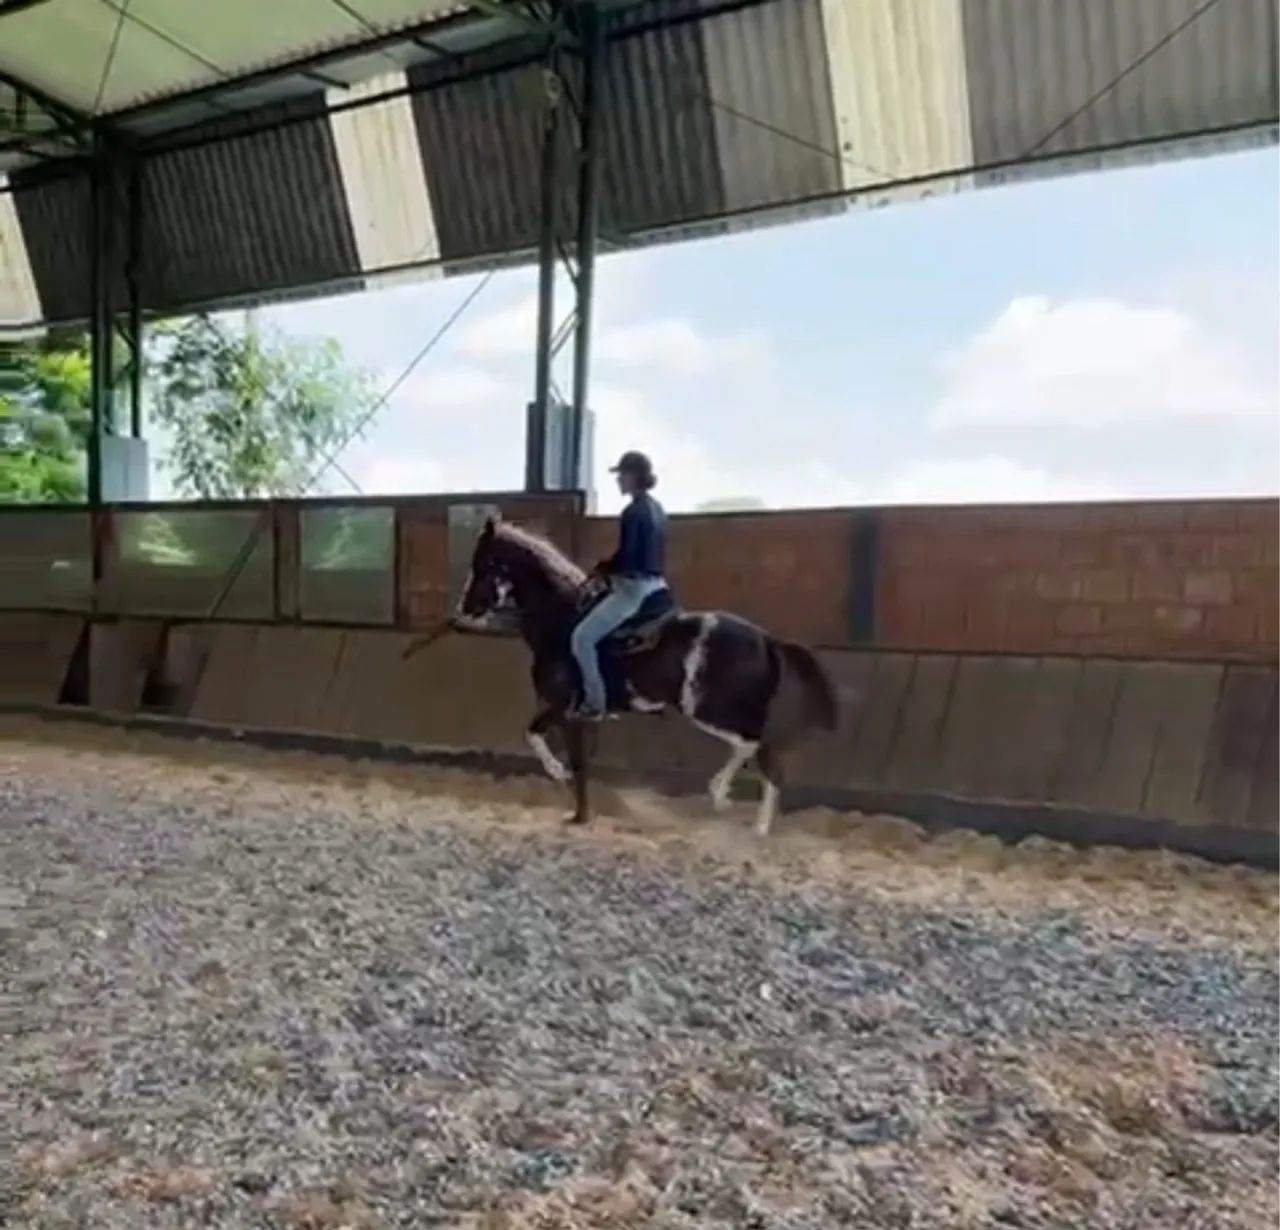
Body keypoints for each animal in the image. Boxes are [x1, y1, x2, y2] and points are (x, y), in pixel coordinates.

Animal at [418, 515, 839, 833]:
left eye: (484, 564)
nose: (466, 608)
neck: (561, 618)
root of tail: (765, 638)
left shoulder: (566, 708)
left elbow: (545, 742)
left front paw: (571, 800)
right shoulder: (574, 714)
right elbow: (554, 746)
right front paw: (573, 801)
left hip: (711, 710)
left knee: (755, 746)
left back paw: (732, 804)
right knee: (763, 753)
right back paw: (751, 818)